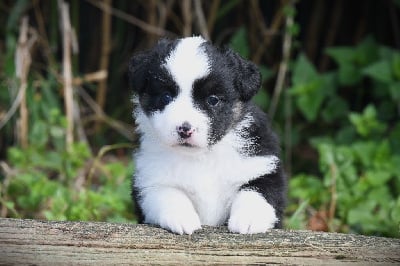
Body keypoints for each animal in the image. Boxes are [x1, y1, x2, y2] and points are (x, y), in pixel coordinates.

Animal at [130, 35, 286, 235]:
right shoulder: (149, 179)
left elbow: (257, 190)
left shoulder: (262, 165)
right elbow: (167, 193)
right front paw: (181, 217)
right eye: (165, 97)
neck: (202, 156)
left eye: (213, 100)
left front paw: (249, 218)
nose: (185, 129)